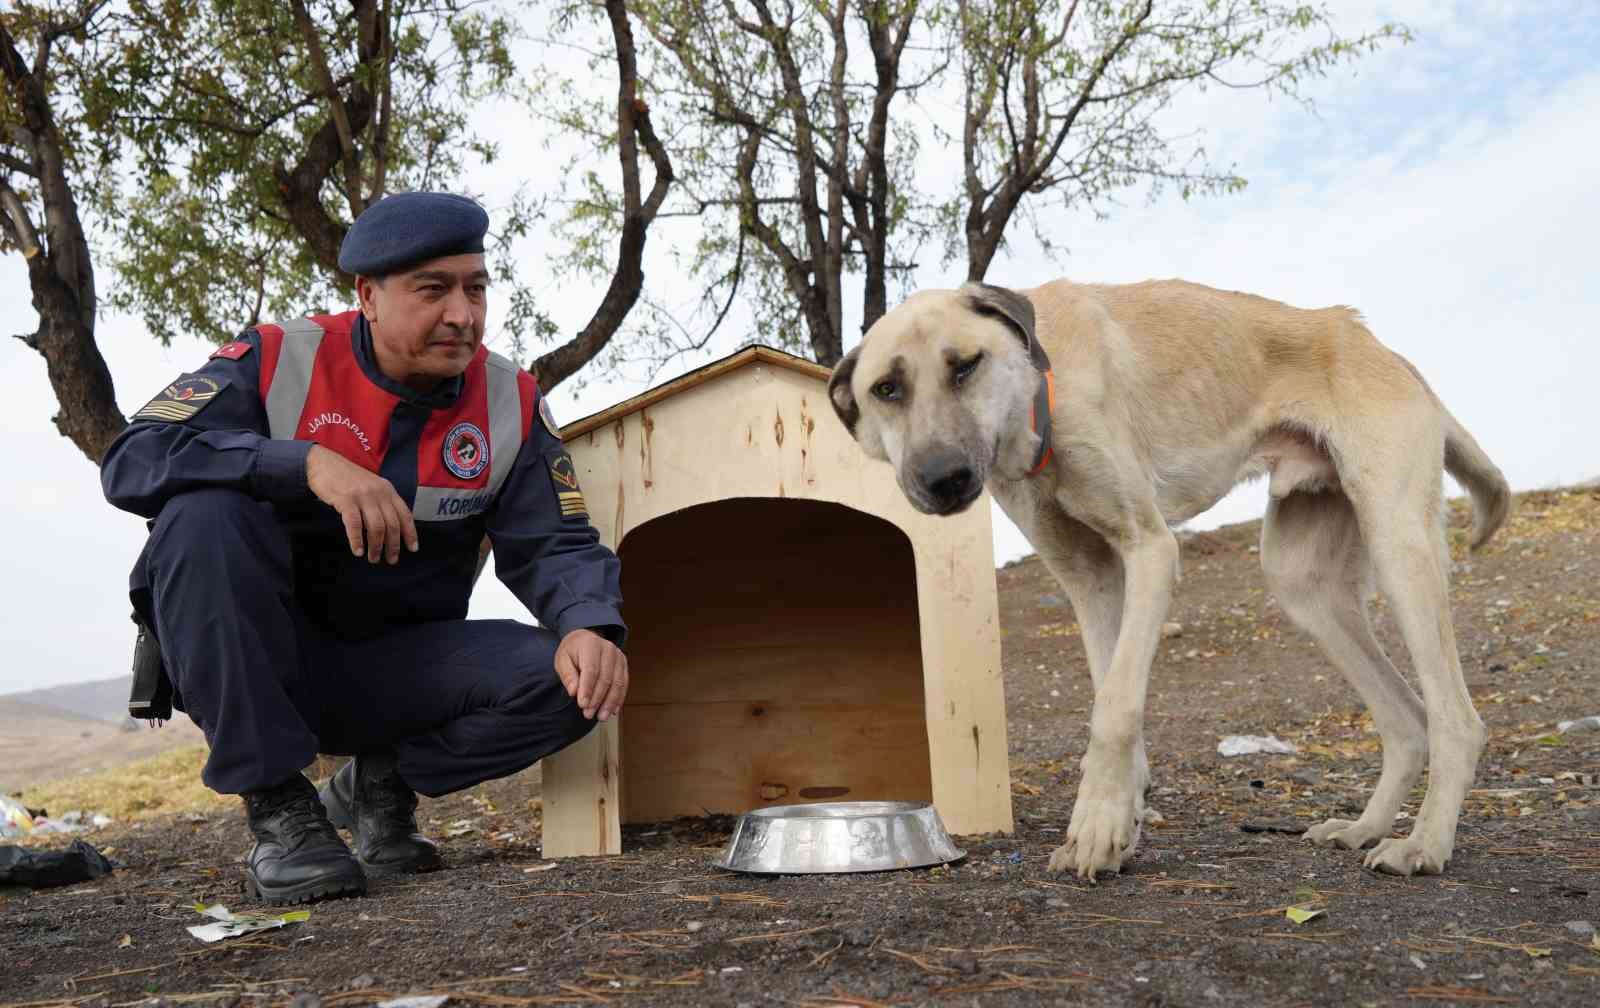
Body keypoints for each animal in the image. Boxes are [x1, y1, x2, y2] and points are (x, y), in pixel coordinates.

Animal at [832, 280, 1504, 883]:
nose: (942, 479)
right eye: (886, 389)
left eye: (966, 365)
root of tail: (1376, 344)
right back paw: (1365, 827)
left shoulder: (1150, 551)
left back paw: (1423, 844)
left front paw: (1096, 830)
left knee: (1456, 720)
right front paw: (1117, 824)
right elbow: (1109, 693)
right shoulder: (1091, 578)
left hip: (1399, 548)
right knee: (1407, 720)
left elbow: (1114, 709)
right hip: (1304, 587)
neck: (1043, 387)